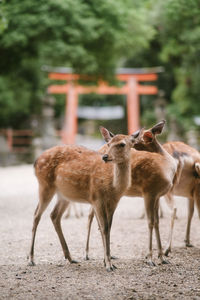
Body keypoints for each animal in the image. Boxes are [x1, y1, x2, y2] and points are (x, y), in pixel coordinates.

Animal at [28, 126, 137, 272]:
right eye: (109, 143)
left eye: (122, 144)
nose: (105, 156)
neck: (113, 187)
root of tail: (35, 162)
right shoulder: (97, 197)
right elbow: (104, 227)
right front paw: (108, 264)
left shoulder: (114, 201)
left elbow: (107, 227)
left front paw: (109, 262)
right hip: (45, 185)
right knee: (36, 215)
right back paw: (31, 259)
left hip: (64, 195)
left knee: (54, 215)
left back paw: (70, 257)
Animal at [84, 120, 177, 266]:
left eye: (138, 138)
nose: (106, 156)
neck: (167, 168)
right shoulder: (149, 191)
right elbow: (150, 222)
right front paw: (150, 259)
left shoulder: (157, 195)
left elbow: (157, 222)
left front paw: (162, 258)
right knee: (92, 218)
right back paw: (89, 255)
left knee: (94, 218)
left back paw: (104, 258)